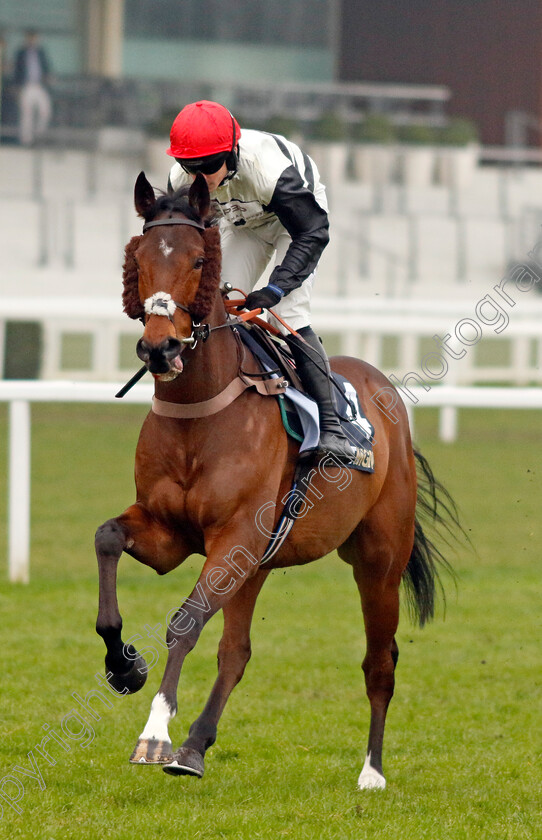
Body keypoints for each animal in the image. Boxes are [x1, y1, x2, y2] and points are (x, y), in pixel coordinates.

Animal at [94, 174, 460, 792]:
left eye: (198, 260)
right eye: (139, 259)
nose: (159, 348)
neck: (199, 415)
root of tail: (384, 392)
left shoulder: (235, 536)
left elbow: (185, 622)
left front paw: (155, 733)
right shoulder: (172, 534)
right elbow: (107, 538)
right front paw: (124, 665)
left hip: (378, 559)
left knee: (380, 660)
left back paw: (371, 771)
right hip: (257, 564)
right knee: (236, 652)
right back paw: (195, 747)